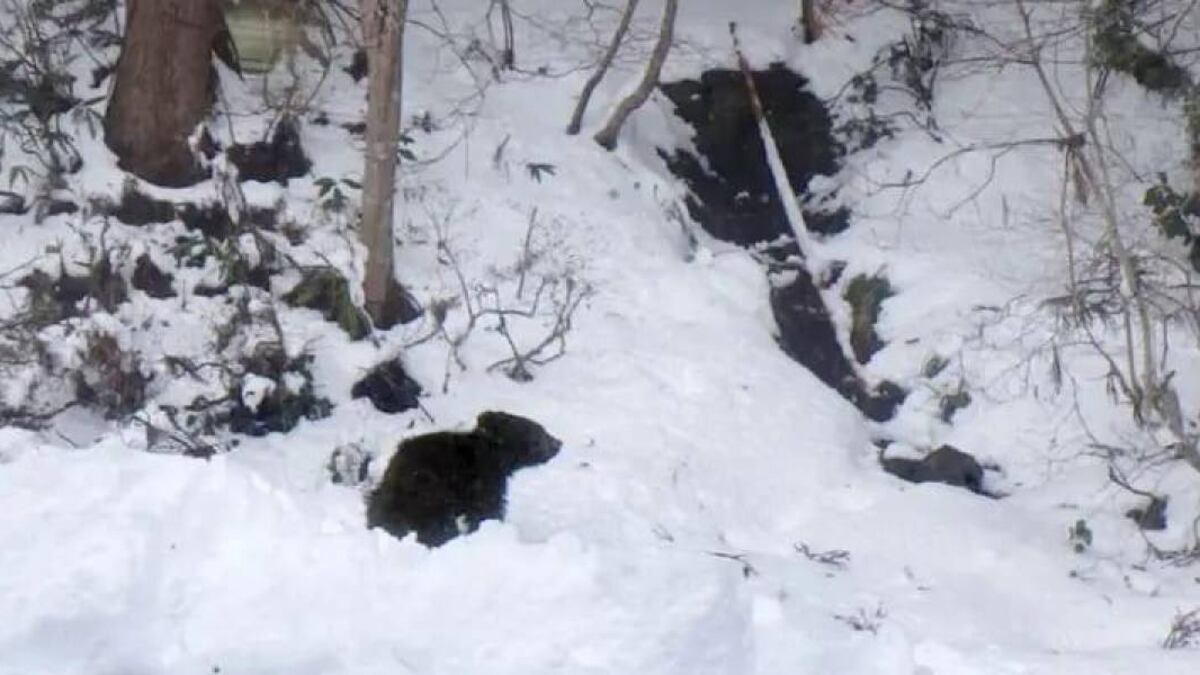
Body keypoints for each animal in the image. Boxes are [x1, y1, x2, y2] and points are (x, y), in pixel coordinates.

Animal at [366, 411, 561, 546]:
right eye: (540, 432)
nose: (558, 443)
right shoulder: (483, 480)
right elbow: (487, 509)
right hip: (428, 497)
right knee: (438, 524)